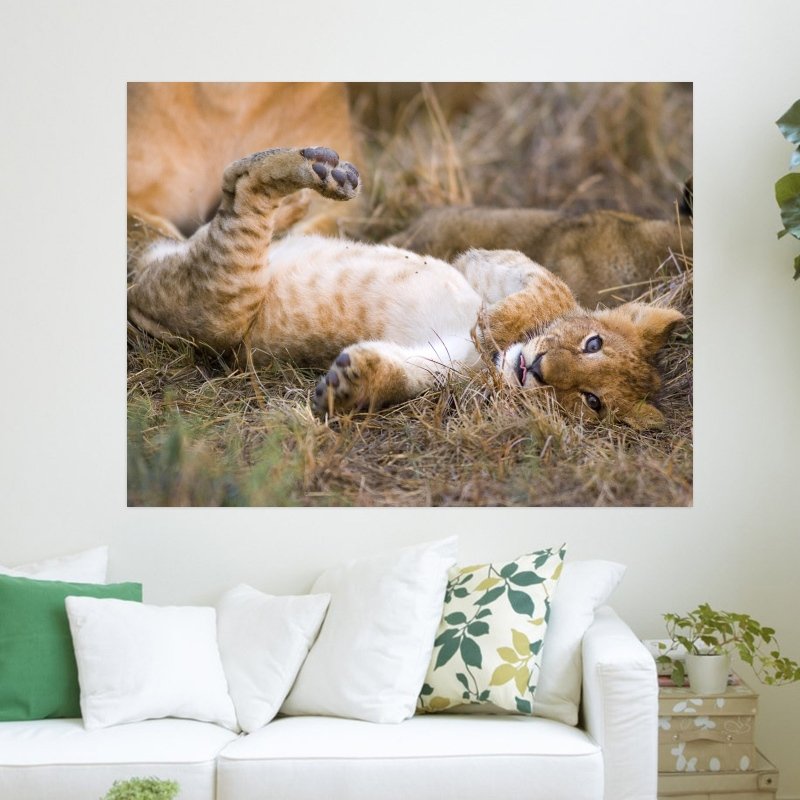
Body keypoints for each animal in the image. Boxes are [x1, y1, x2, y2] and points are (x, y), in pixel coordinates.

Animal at [128, 145, 685, 430]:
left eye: (591, 401)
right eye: (593, 343)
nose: (540, 371)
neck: (493, 364)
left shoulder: (445, 370)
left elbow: (401, 377)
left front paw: (349, 386)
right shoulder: (483, 260)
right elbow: (555, 290)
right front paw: (496, 324)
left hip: (223, 298)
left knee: (238, 192)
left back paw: (317, 169)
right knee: (237, 187)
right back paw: (326, 170)